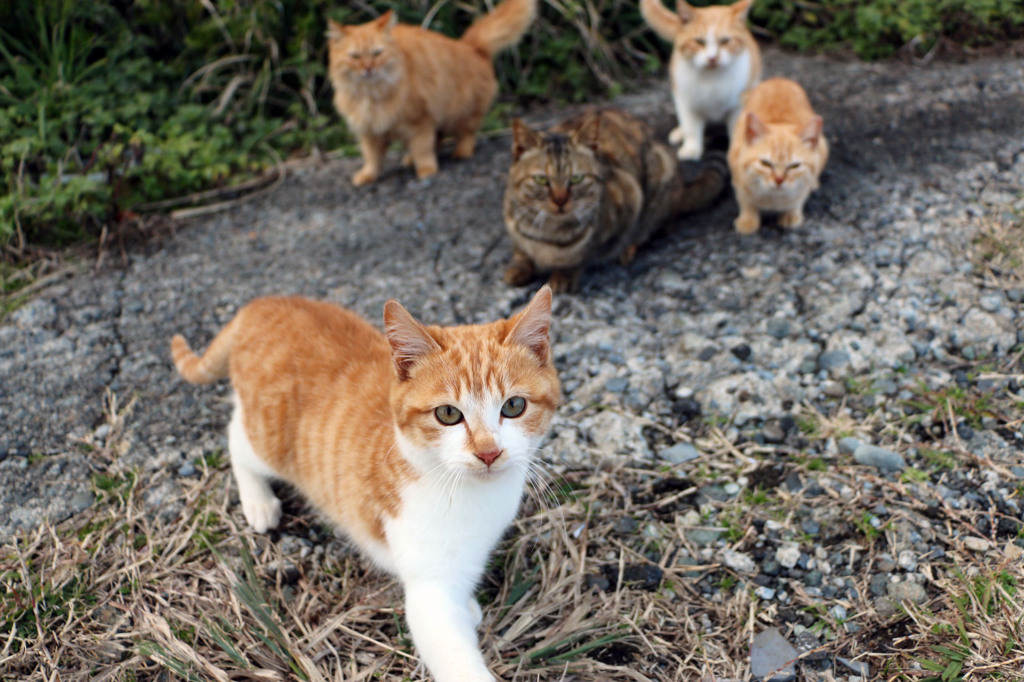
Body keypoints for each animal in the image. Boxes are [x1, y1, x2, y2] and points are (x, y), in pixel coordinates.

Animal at [174, 288, 561, 679]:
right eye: (448, 414)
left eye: (513, 406)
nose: (489, 452)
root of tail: (264, 302)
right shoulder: (430, 592)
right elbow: (456, 656)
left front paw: (467, 606)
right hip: (267, 439)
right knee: (236, 437)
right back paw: (258, 500)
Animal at [329, 0, 540, 186]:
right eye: (355, 57)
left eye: (377, 53)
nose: (368, 68)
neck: (371, 94)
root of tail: (470, 46)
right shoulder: (369, 131)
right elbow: (372, 158)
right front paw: (367, 175)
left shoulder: (420, 120)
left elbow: (423, 150)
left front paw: (426, 170)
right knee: (438, 138)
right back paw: (409, 158)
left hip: (461, 111)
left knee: (467, 134)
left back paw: (460, 153)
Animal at [503, 107, 729, 290]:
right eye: (542, 179)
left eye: (576, 178)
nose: (560, 200)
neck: (548, 234)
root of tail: (682, 183)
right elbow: (520, 250)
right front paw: (519, 266)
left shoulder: (631, 195)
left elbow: (585, 255)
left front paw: (564, 275)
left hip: (659, 180)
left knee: (654, 227)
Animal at [638, 0, 761, 159]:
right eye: (699, 42)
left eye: (725, 41)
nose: (712, 58)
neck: (712, 80)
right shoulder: (686, 101)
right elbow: (691, 129)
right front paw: (691, 150)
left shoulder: (738, 107)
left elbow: (737, 131)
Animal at [724, 77, 827, 233]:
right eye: (765, 163)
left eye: (794, 166)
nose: (779, 180)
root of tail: (779, 79)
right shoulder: (737, 172)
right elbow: (745, 201)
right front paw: (748, 220)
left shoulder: (804, 184)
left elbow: (799, 198)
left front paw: (791, 214)